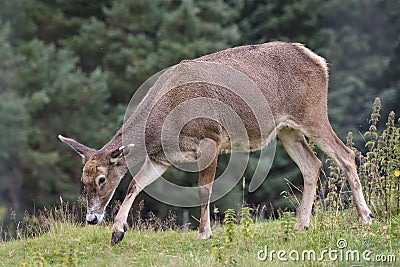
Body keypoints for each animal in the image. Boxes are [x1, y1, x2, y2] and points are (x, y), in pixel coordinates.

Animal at [57, 40, 374, 246]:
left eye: (101, 179)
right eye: (82, 180)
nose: (91, 219)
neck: (162, 128)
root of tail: (319, 61)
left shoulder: (210, 138)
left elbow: (204, 189)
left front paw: (204, 233)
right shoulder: (163, 158)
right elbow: (136, 184)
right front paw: (117, 232)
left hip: (312, 112)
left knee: (346, 154)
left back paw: (365, 217)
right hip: (286, 129)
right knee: (313, 163)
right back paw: (302, 223)